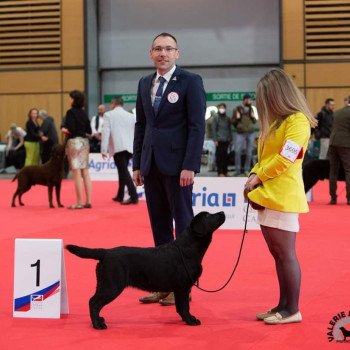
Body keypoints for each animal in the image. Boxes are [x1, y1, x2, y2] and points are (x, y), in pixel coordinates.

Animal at [66, 211, 226, 328]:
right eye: (208, 216)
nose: (222, 212)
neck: (189, 247)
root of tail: (105, 252)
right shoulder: (182, 287)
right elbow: (184, 306)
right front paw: (191, 320)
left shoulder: (180, 288)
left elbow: (180, 307)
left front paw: (187, 319)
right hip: (111, 286)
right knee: (94, 302)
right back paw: (97, 325)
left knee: (94, 302)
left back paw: (100, 320)